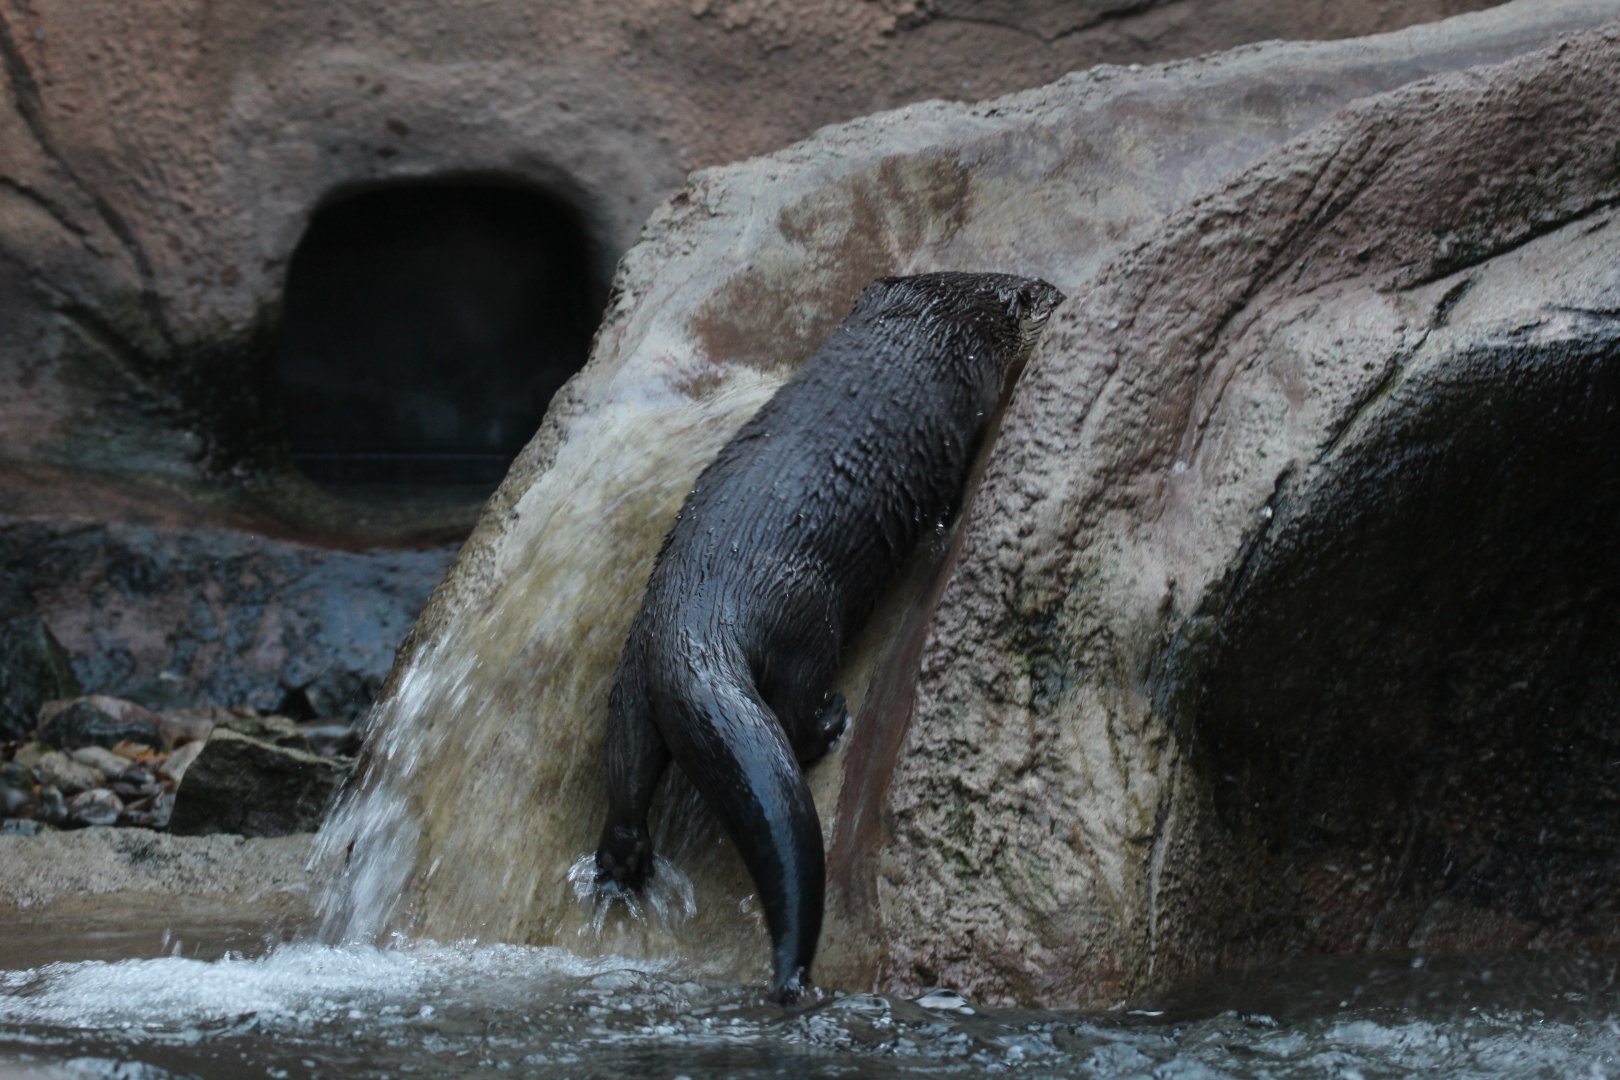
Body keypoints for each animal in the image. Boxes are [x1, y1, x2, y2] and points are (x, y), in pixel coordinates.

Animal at [593, 271, 1065, 1002]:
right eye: (1036, 293)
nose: (1062, 295)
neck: (923, 329)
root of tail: (696, 626)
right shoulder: (965, 407)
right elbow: (952, 483)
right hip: (806, 615)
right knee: (790, 707)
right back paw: (829, 723)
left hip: (634, 675)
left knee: (627, 765)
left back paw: (621, 865)